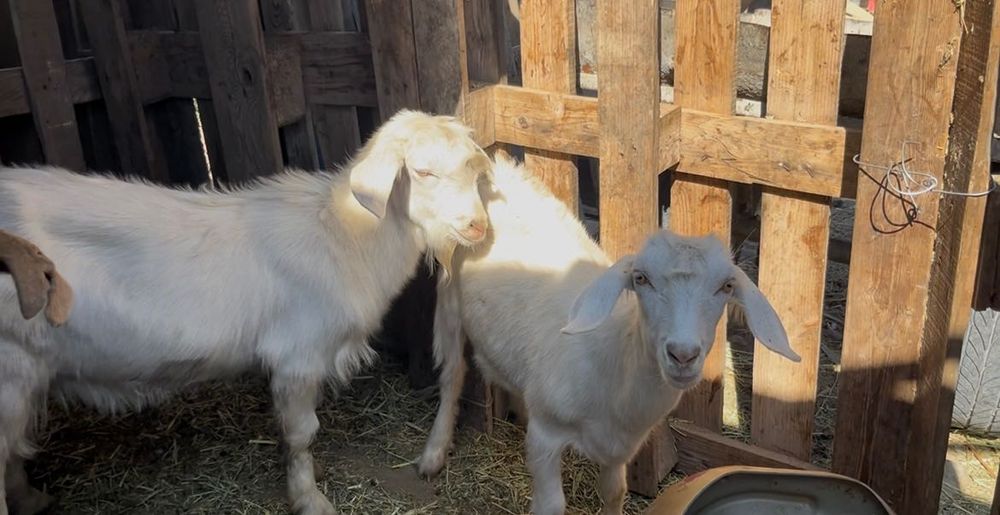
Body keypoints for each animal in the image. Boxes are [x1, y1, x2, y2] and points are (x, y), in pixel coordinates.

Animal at [0, 109, 492, 515]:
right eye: (422, 171)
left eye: (473, 168)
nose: (477, 226)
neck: (342, 234)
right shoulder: (297, 356)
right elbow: (301, 433)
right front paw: (309, 499)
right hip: (11, 365)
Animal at [416, 154, 799, 515]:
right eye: (641, 279)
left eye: (726, 286)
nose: (683, 355)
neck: (614, 355)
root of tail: (495, 169)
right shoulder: (547, 436)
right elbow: (551, 505)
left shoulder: (619, 447)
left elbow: (615, 492)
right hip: (449, 296)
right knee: (452, 373)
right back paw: (434, 453)